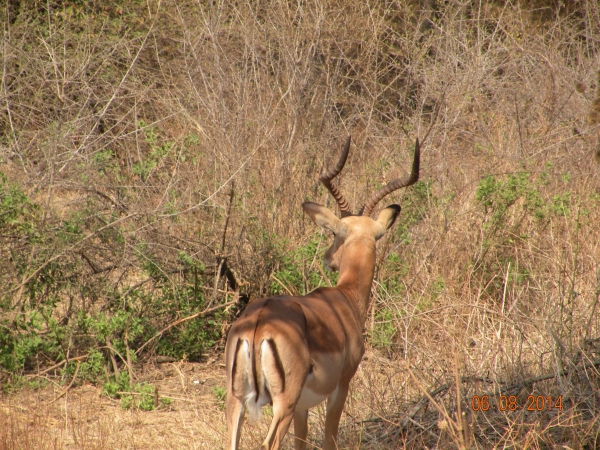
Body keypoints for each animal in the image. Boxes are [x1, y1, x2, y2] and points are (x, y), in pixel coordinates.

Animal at [226, 135, 422, 448]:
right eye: (334, 232)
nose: (329, 259)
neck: (345, 297)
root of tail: (258, 324)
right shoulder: (341, 385)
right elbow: (330, 438)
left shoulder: (302, 407)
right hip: (283, 402)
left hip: (237, 401)